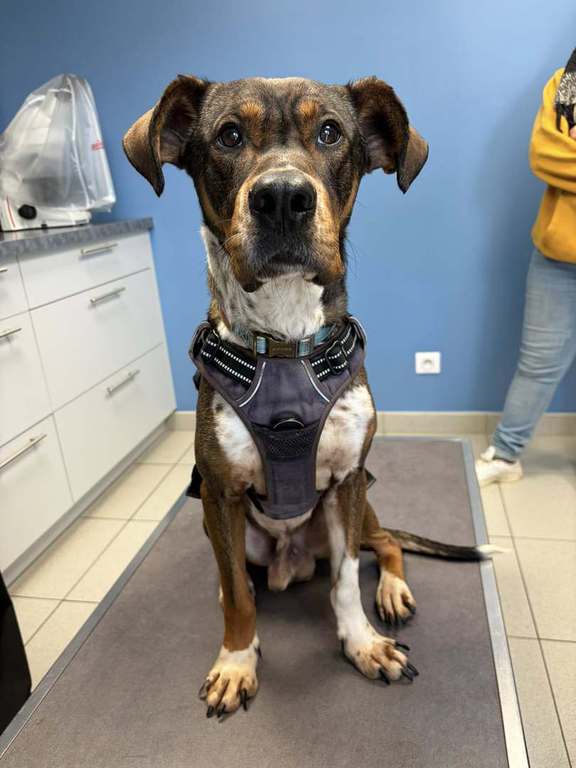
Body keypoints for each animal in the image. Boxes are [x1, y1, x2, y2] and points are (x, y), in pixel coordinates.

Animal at [123, 74, 490, 719]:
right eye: (228, 136)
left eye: (330, 133)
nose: (282, 198)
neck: (286, 340)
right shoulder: (219, 493)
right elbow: (238, 597)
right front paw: (236, 661)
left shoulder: (347, 480)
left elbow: (344, 582)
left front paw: (363, 643)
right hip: (235, 531)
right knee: (241, 578)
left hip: (357, 509)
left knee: (386, 542)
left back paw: (392, 591)